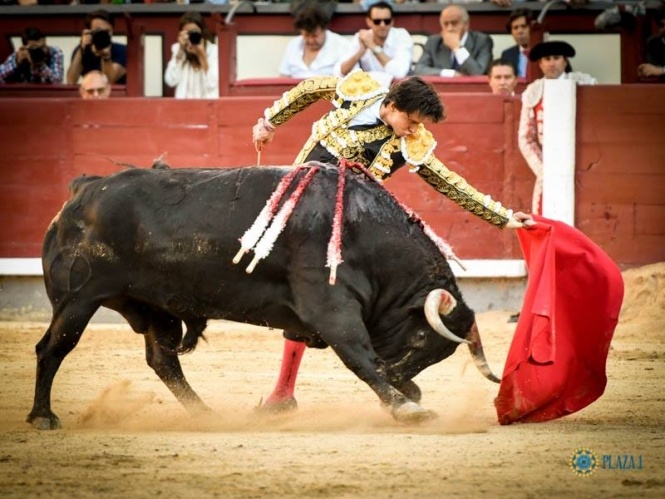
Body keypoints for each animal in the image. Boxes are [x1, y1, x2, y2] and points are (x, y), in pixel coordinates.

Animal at [29, 164, 498, 430]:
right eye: (419, 339)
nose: (408, 383)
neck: (360, 228)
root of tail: (83, 190)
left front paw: (407, 401)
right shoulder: (330, 307)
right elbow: (360, 358)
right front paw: (408, 409)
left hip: (153, 305)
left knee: (163, 360)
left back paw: (206, 416)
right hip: (77, 299)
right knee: (53, 348)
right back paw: (43, 417)